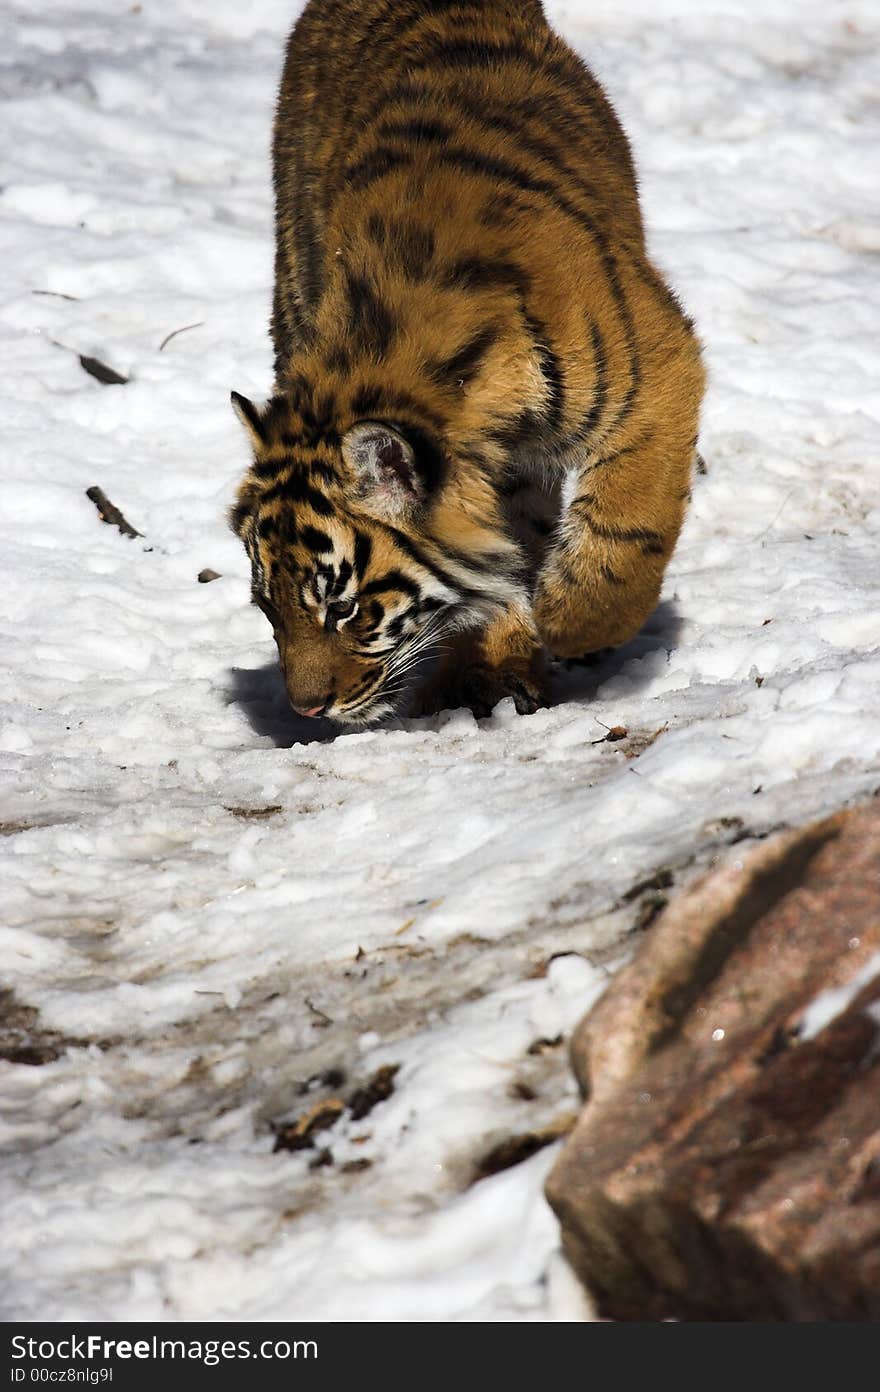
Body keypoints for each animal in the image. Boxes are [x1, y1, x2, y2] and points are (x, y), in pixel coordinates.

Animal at [229, 2, 704, 729]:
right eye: (266, 605)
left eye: (345, 609)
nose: (309, 710)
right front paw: (497, 664)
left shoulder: (657, 368)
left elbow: (630, 520)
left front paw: (574, 620)